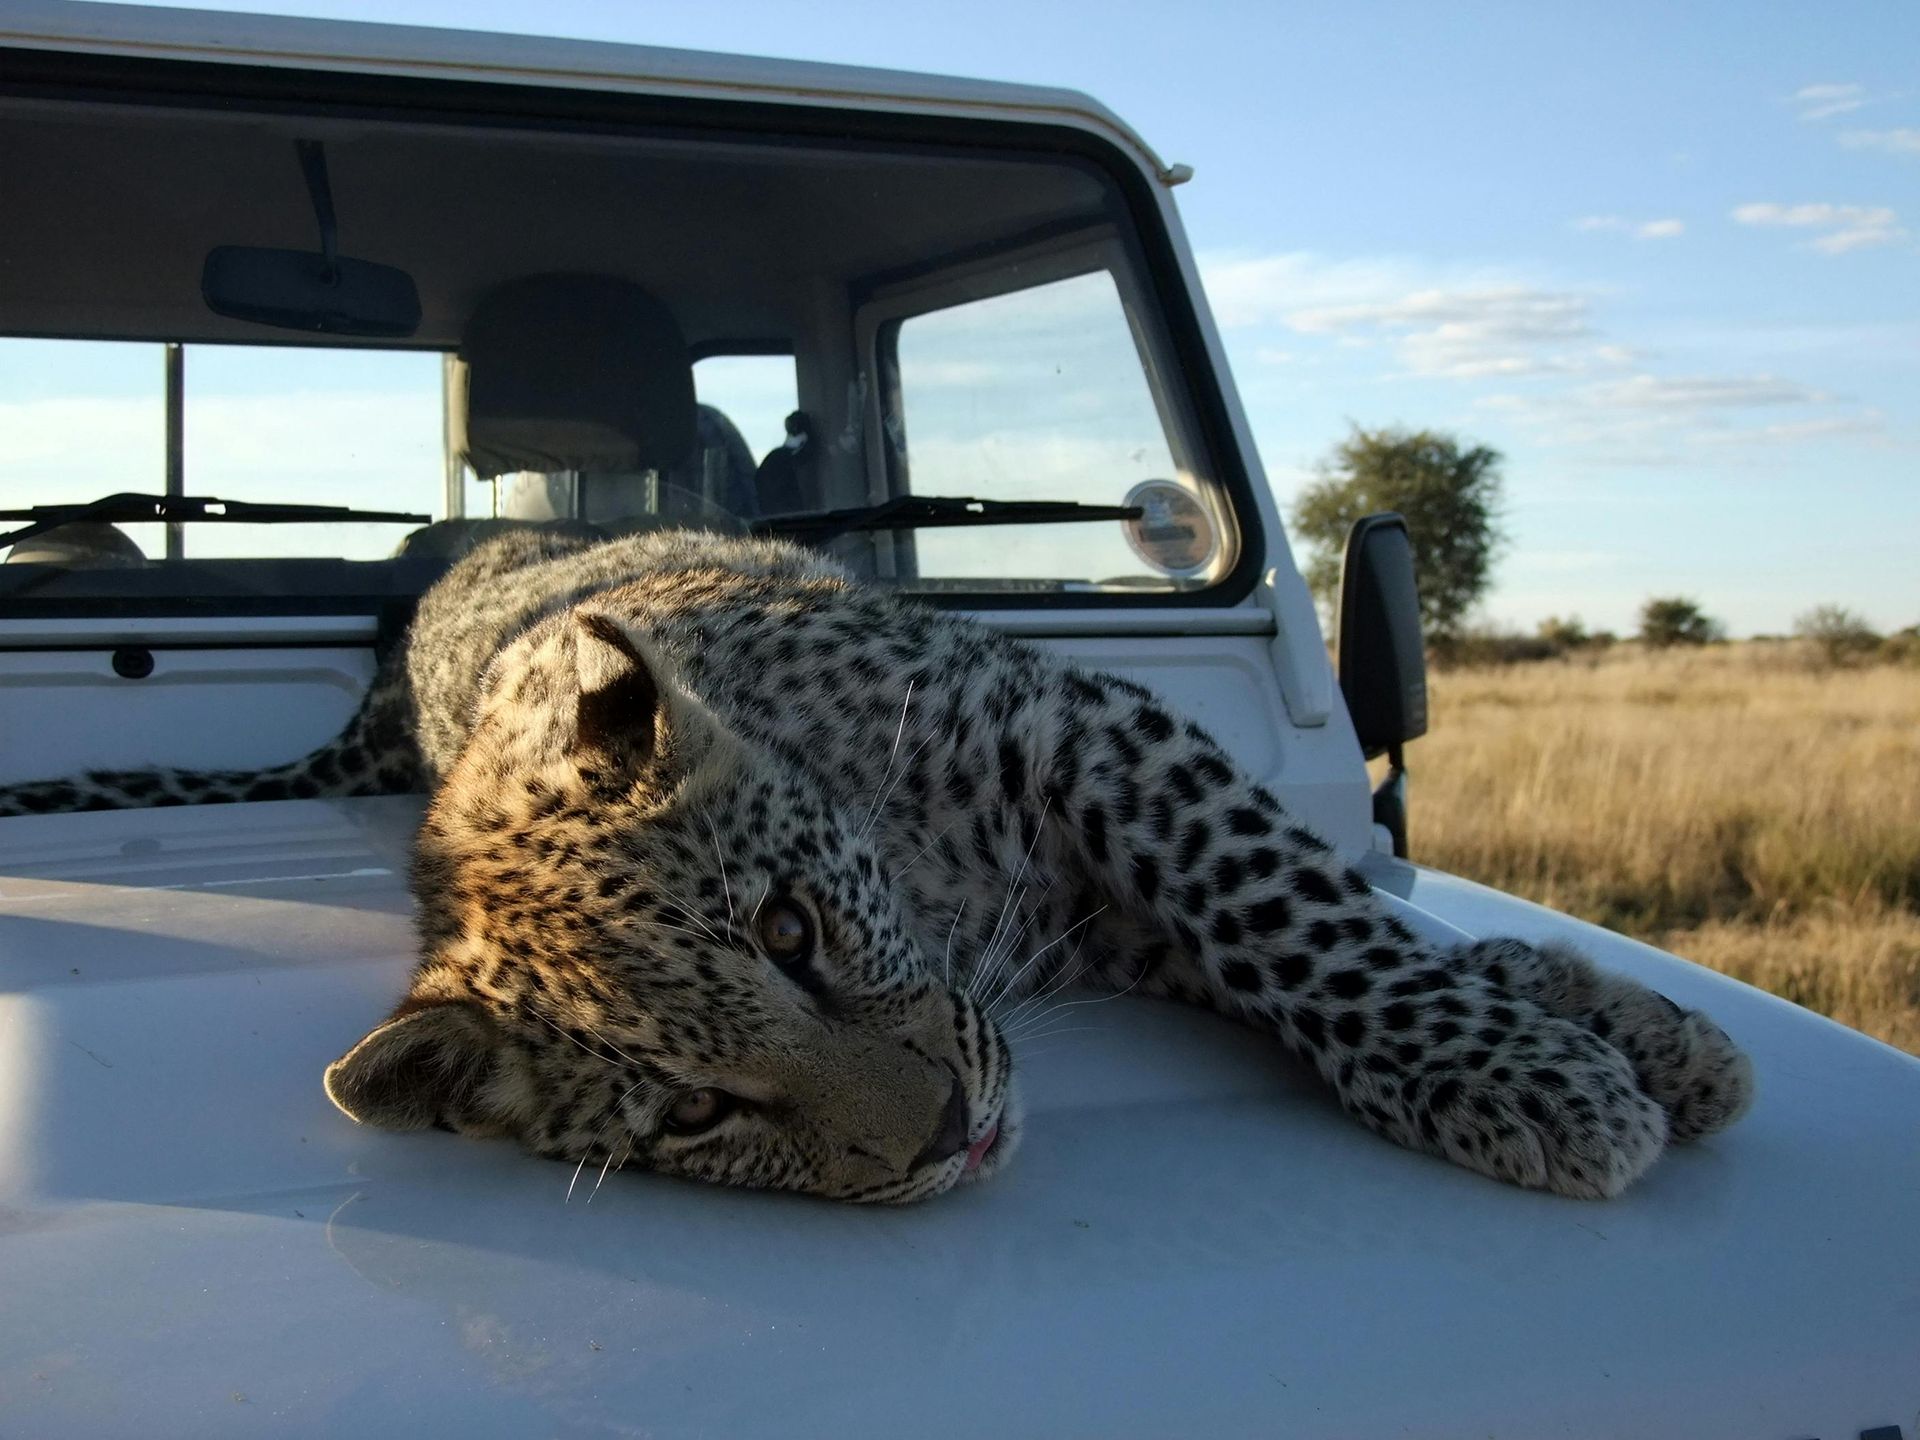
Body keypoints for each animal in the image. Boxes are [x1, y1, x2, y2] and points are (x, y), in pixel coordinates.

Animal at [0, 527, 1754, 1203]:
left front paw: (1560, 1063)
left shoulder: (1083, 738)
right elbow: (1286, 932)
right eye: (693, 1115)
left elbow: (1299, 916)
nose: (954, 1135)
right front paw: (1590, 1046)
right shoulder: (1094, 917)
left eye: (790, 928)